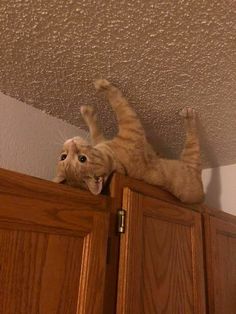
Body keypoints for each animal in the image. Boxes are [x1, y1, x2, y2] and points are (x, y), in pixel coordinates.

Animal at [53, 79, 203, 204]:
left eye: (63, 157)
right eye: (82, 159)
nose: (72, 143)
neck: (112, 158)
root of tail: (201, 197)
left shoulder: (100, 138)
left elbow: (95, 128)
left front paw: (87, 111)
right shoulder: (130, 121)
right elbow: (118, 100)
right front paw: (102, 84)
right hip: (190, 155)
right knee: (194, 138)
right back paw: (190, 116)